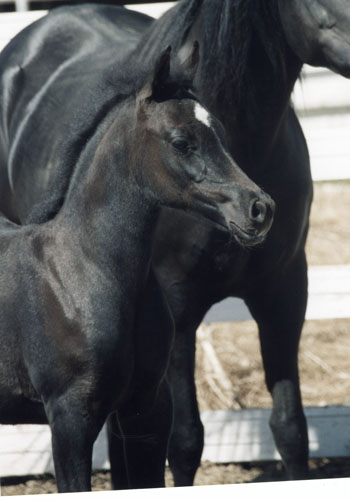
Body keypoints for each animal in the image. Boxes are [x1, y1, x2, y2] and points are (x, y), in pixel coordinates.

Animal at [0, 0, 348, 488]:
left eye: (220, 131)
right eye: (182, 142)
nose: (259, 208)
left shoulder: (285, 293)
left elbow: (290, 428)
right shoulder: (176, 316)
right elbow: (186, 442)